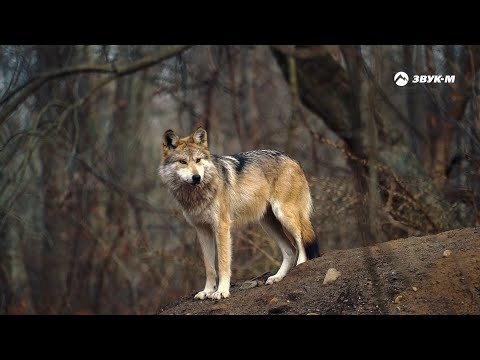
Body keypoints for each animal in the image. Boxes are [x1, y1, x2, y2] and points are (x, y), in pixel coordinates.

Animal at [159, 127, 320, 300]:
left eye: (198, 160)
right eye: (183, 162)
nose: (197, 177)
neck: (197, 195)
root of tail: (292, 159)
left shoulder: (222, 227)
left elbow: (223, 264)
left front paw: (221, 291)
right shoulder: (202, 230)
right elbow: (209, 267)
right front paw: (207, 291)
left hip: (284, 215)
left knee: (300, 239)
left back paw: (301, 264)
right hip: (268, 224)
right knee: (290, 250)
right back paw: (277, 277)